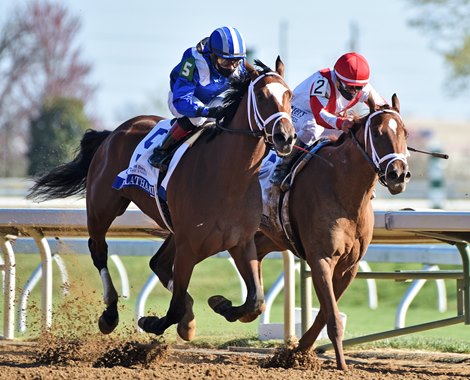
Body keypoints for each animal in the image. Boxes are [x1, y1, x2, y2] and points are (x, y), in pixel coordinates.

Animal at [26, 58, 294, 338]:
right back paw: (110, 314)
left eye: (288, 94)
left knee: (158, 263)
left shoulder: (241, 242)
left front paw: (220, 304)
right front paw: (151, 322)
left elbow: (256, 302)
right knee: (99, 250)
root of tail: (113, 133)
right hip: (102, 207)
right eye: (262, 96)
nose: (285, 137)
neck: (229, 179)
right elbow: (174, 308)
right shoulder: (188, 247)